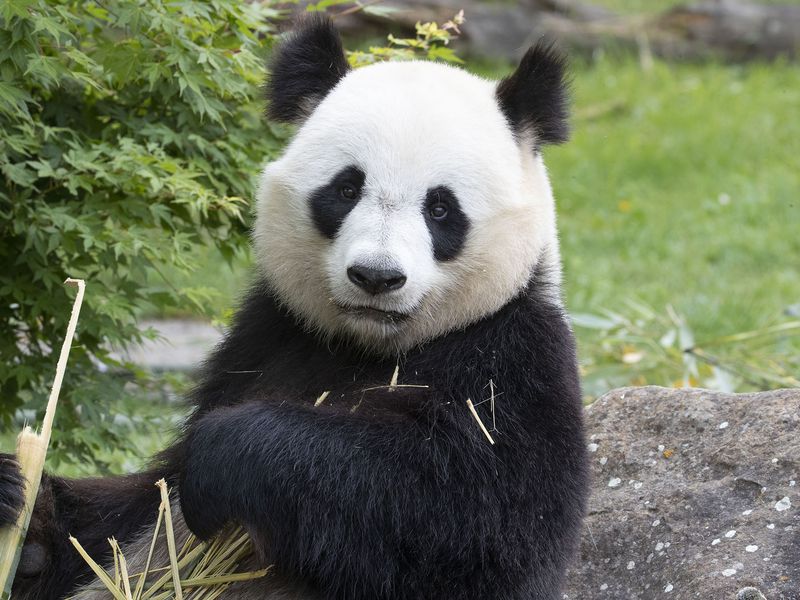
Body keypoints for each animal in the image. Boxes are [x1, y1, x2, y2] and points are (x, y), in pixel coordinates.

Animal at [0, 15, 588, 600]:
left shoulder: (511, 358)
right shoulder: (266, 338)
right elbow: (133, 513)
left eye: (440, 208)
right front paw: (20, 501)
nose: (376, 277)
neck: (369, 346)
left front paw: (225, 455)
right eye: (347, 188)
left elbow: (476, 521)